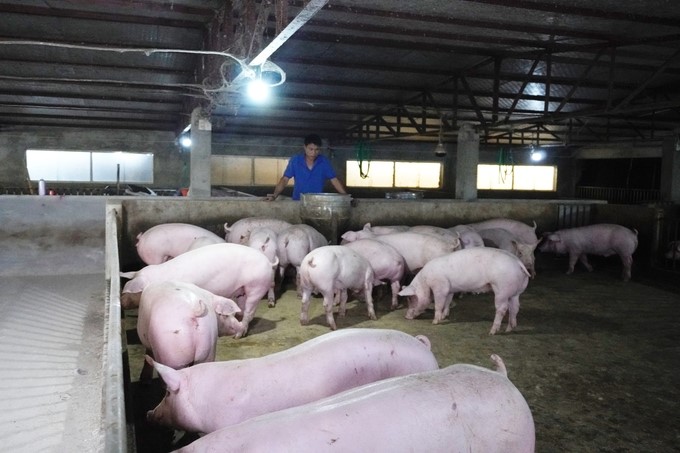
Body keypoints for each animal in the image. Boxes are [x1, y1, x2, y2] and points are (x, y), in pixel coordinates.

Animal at [119, 244, 276, 336]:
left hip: (256, 286)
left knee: (250, 312)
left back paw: (238, 335)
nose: (121, 301)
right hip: (243, 288)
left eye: (136, 292)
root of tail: (268, 262)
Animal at [398, 245, 532, 334]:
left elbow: (438, 304)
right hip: (515, 292)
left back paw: (492, 332)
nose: (406, 317)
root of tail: (518, 262)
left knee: (502, 308)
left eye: (410, 299)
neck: (425, 281)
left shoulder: (440, 286)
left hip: (501, 289)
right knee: (515, 307)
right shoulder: (449, 288)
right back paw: (509, 329)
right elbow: (447, 302)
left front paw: (435, 322)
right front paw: (444, 316)